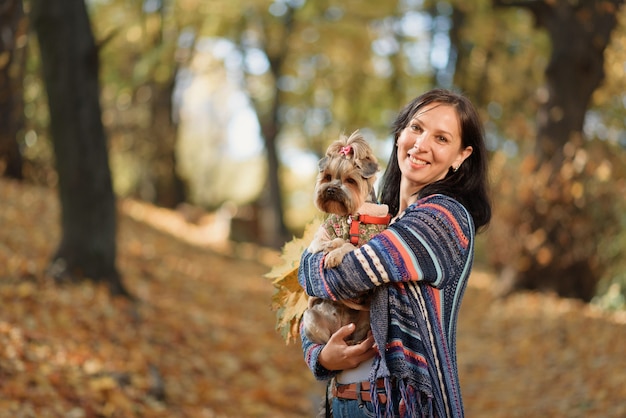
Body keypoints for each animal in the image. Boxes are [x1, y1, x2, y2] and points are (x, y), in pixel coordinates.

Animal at [300, 131, 388, 346]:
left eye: (350, 181)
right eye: (328, 177)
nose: (331, 189)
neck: (352, 216)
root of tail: (340, 328)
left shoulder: (370, 244)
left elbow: (350, 244)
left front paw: (334, 254)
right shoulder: (318, 239)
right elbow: (335, 241)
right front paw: (332, 247)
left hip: (365, 321)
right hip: (311, 318)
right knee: (326, 340)